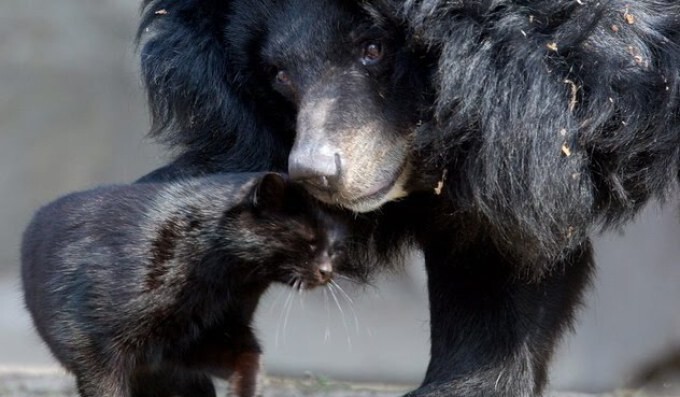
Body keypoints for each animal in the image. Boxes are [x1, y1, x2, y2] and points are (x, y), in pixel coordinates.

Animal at [21, 173, 362, 396]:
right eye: (308, 241)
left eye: (335, 248)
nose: (327, 271)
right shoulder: (93, 344)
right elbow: (105, 385)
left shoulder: (209, 336)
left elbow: (250, 360)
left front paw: (244, 390)